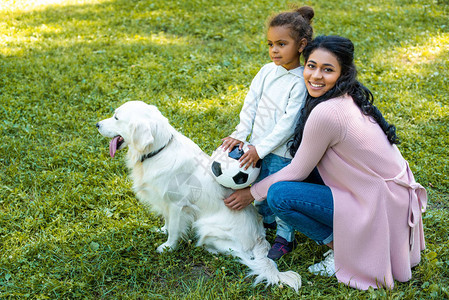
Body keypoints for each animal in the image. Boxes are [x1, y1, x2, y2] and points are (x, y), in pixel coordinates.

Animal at [98, 101, 300, 290]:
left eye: (116, 117)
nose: (97, 124)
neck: (159, 150)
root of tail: (260, 236)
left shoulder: (177, 204)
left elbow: (174, 229)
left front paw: (168, 247)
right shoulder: (166, 200)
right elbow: (168, 221)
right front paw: (163, 229)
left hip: (207, 227)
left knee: (242, 254)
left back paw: (210, 249)